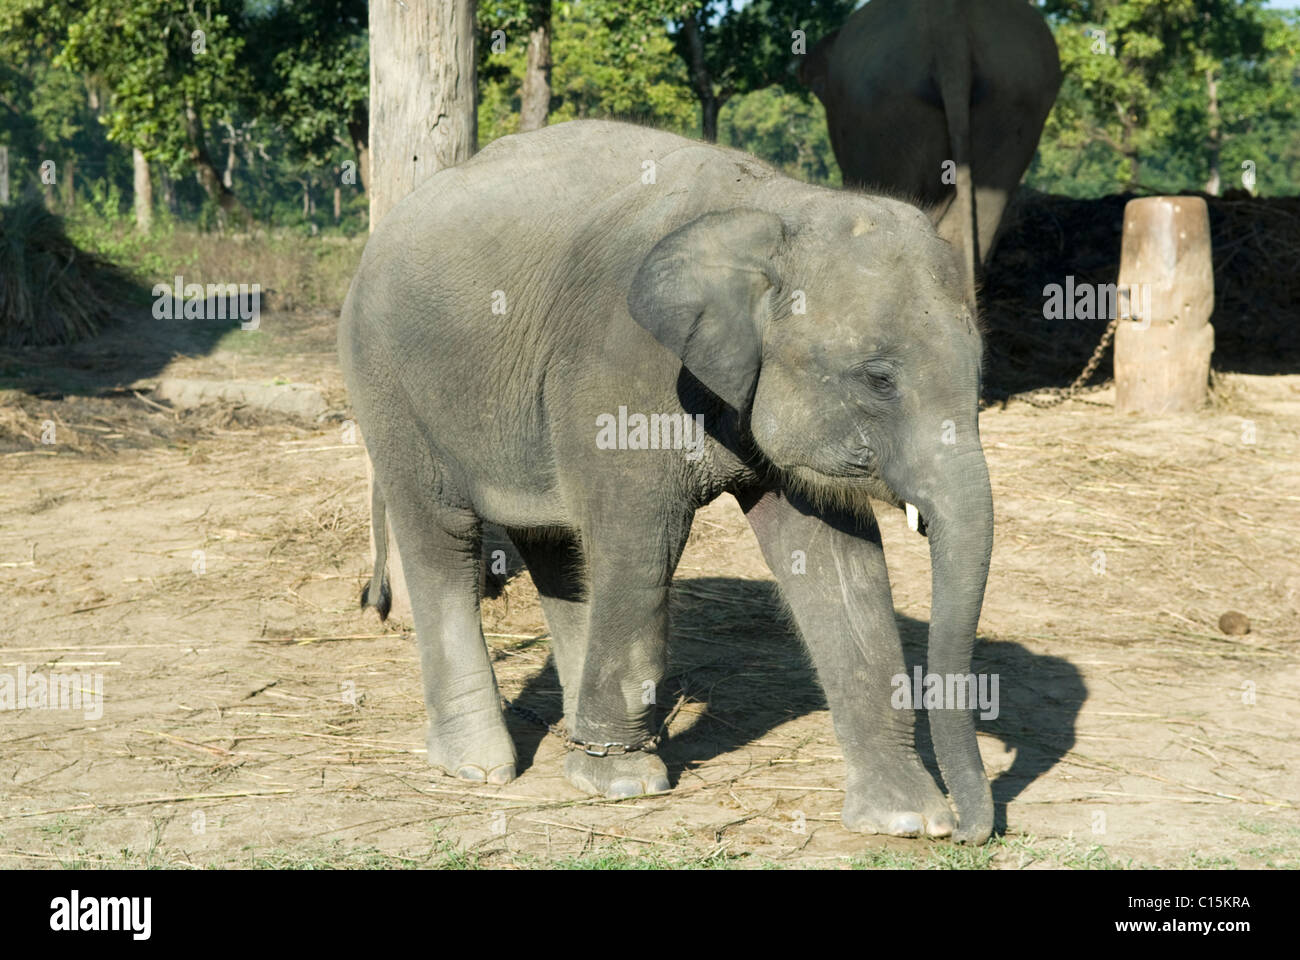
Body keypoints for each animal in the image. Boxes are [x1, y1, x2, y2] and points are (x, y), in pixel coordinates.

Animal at [343, 117, 993, 837]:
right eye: (879, 378)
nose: (973, 830)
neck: (776, 208)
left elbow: (839, 561)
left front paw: (908, 819)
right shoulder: (622, 369)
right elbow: (641, 546)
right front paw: (624, 783)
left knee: (555, 544)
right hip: (388, 383)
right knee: (443, 536)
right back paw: (480, 767)